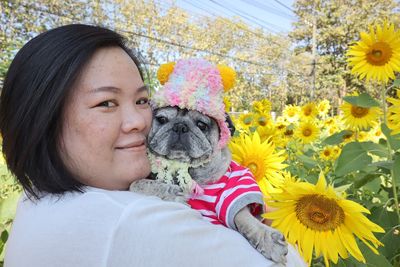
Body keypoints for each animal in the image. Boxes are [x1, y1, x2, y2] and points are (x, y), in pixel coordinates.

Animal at [130, 105, 290, 264]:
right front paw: (170, 191)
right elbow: (137, 183)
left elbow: (243, 216)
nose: (180, 126)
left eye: (202, 125)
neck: (184, 169)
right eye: (162, 119)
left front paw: (267, 238)